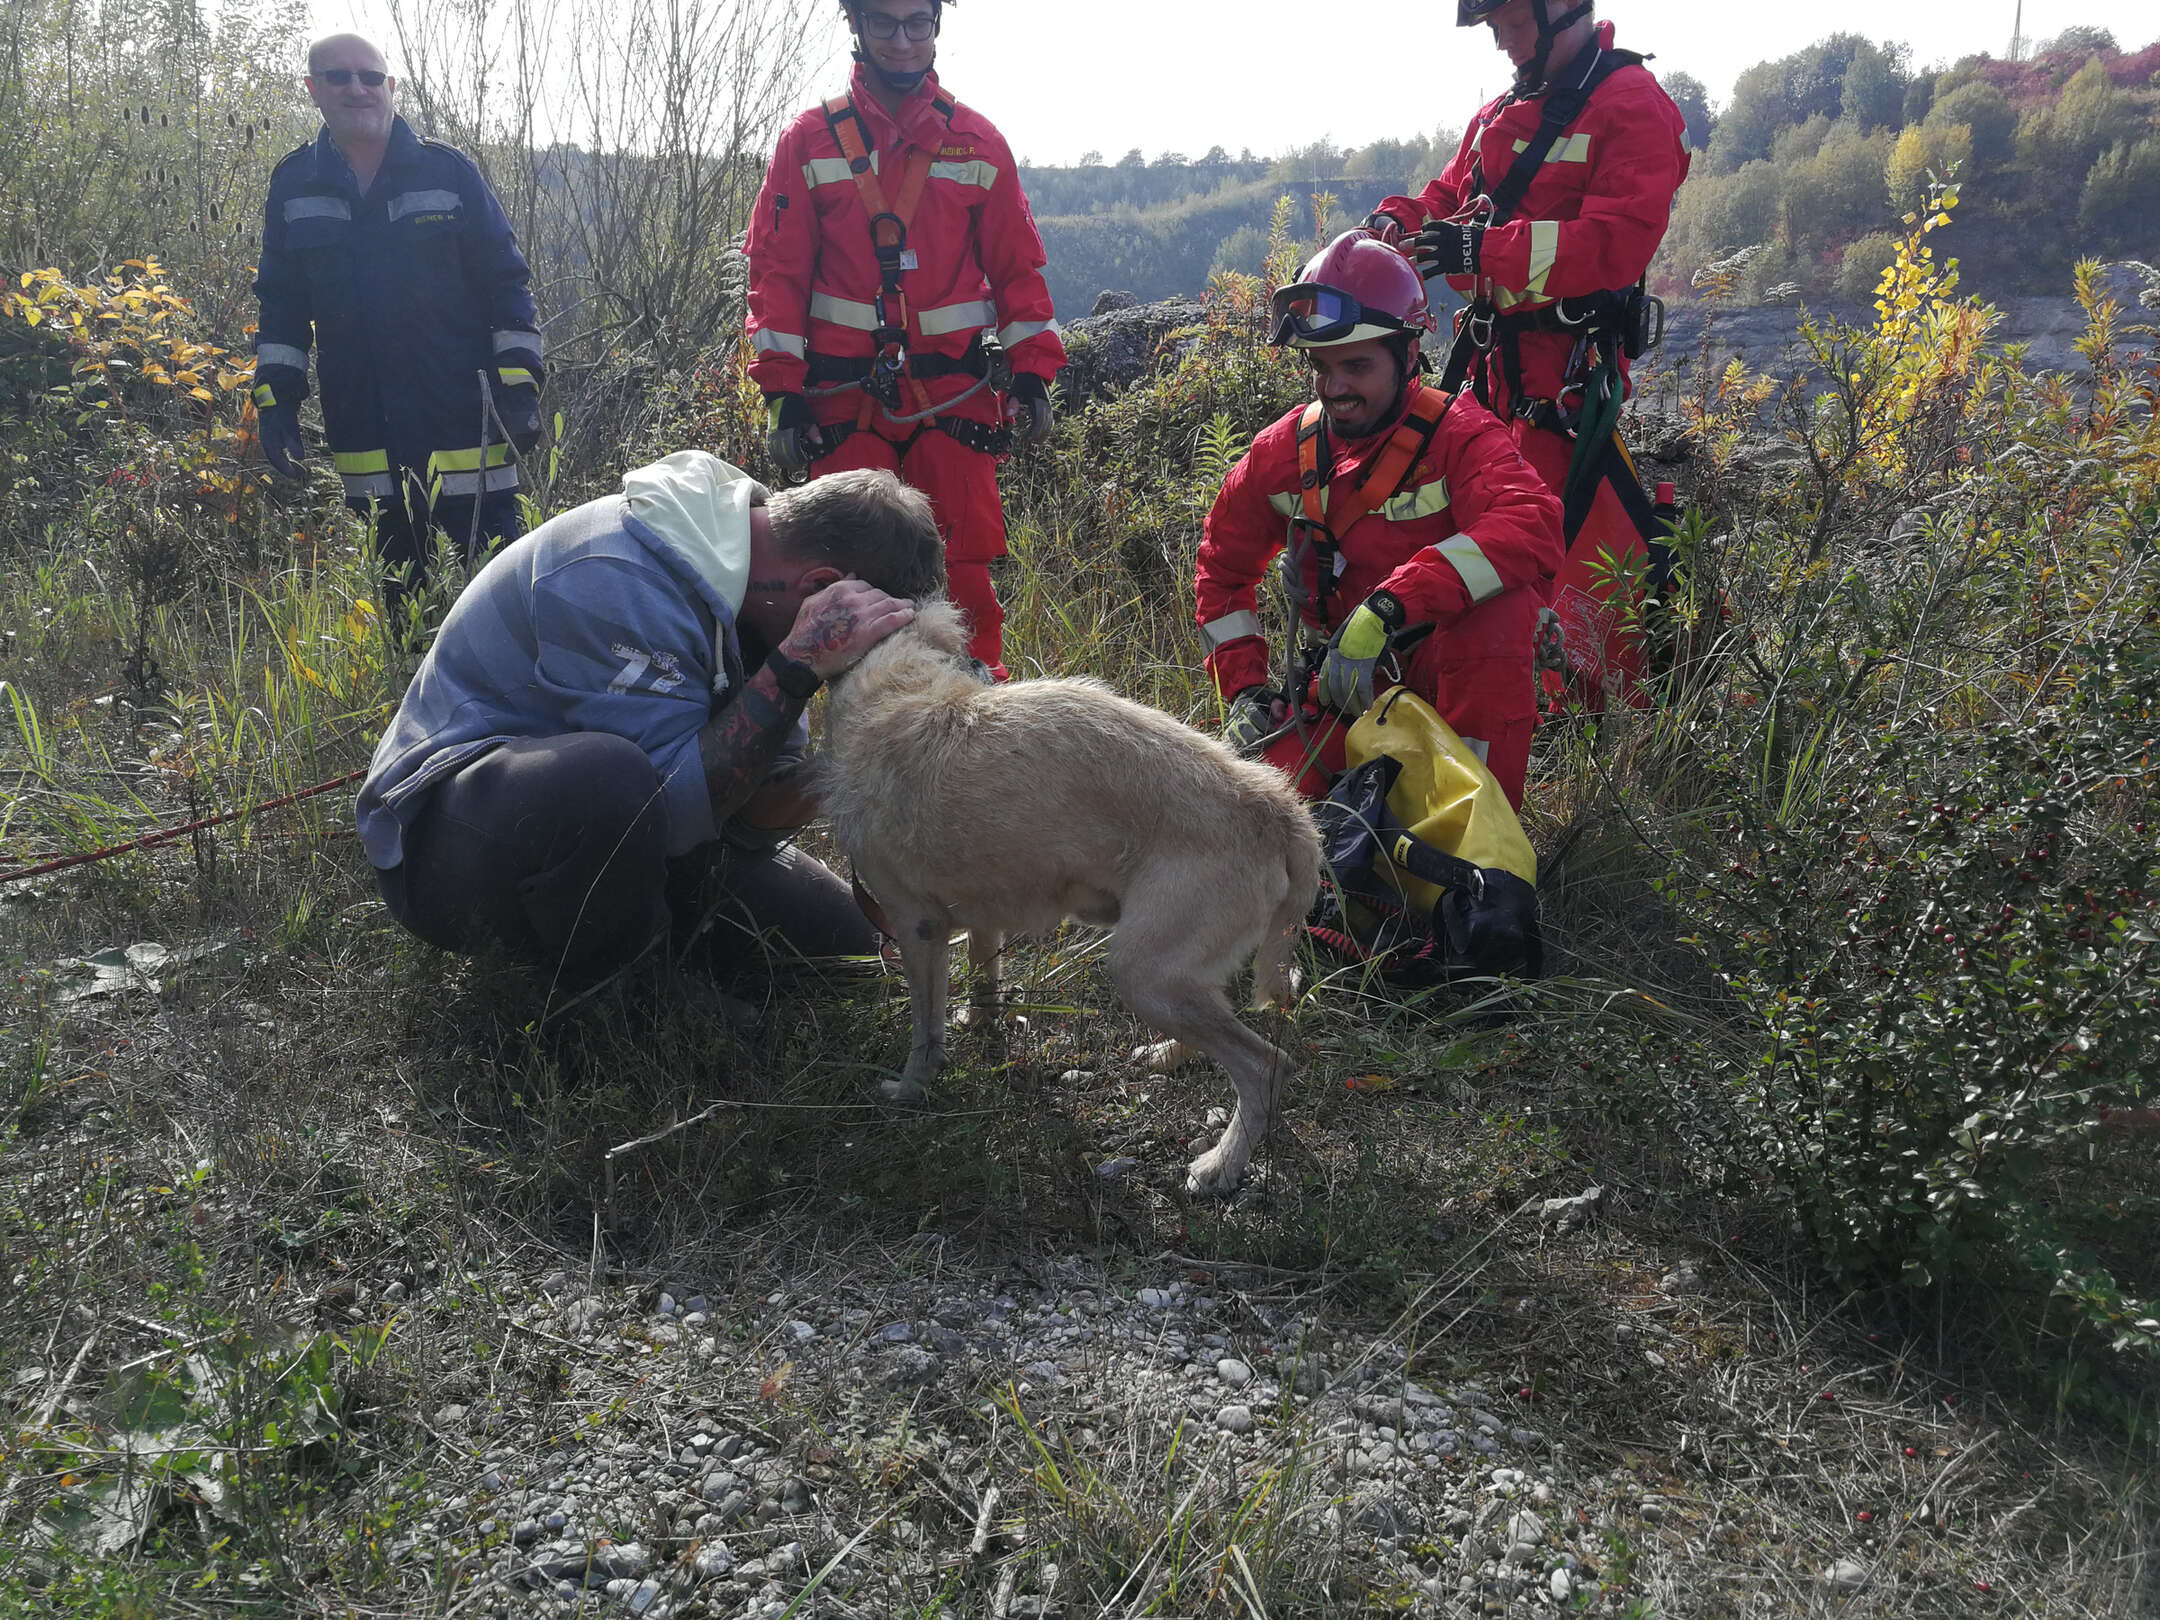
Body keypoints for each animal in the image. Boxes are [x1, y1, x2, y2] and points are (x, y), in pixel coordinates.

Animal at [820, 604, 1313, 1200]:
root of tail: (1275, 803)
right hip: (1175, 974)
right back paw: (1166, 1056)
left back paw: (1220, 1164)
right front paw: (981, 1026)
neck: (898, 682)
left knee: (1265, 1066)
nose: (985, 665)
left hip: (1142, 973)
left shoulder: (917, 928)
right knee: (1215, 1023)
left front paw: (912, 1089)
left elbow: (925, 1033)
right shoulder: (981, 917)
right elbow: (983, 981)